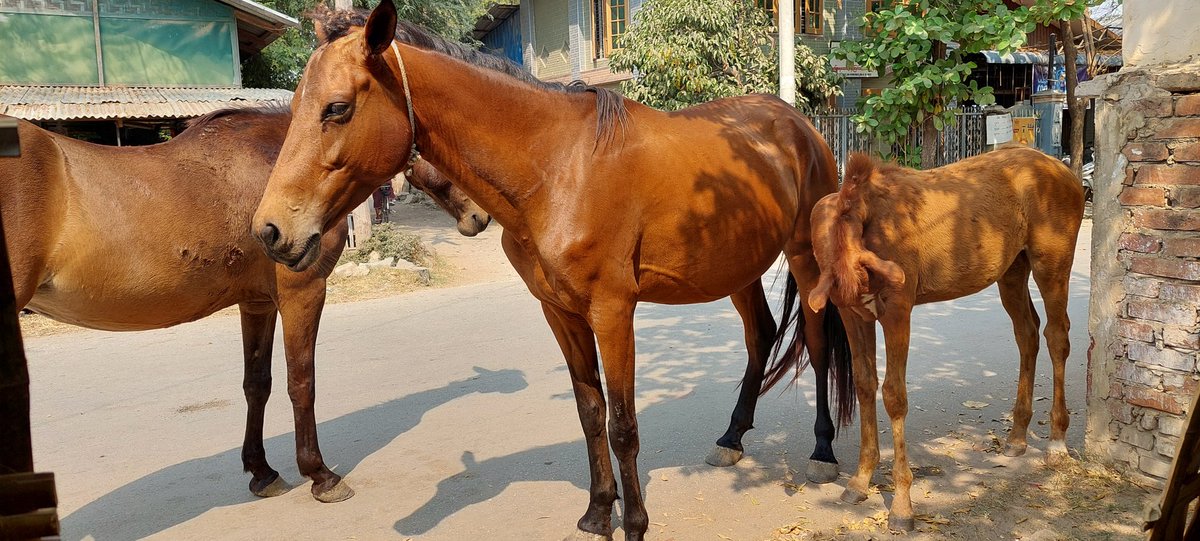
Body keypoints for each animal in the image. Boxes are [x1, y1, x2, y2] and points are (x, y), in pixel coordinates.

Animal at [4, 104, 482, 503]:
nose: (481, 215)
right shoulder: (302, 292)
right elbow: (301, 382)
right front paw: (321, 476)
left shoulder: (257, 304)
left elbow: (258, 384)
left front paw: (262, 472)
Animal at [254, 2, 854, 539]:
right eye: (298, 104)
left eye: (336, 108)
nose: (270, 230)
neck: (558, 168)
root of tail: (797, 123)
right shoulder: (560, 312)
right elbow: (590, 412)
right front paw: (598, 513)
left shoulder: (613, 313)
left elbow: (622, 424)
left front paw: (635, 523)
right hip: (737, 270)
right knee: (762, 337)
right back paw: (731, 439)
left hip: (805, 259)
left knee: (818, 343)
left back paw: (823, 452)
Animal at [811, 146, 1084, 532]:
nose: (867, 293)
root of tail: (1063, 172)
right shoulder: (853, 315)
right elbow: (864, 383)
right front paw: (860, 479)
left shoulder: (897, 310)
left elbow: (894, 395)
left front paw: (902, 505)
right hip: (1012, 269)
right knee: (1027, 333)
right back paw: (1017, 436)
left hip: (1053, 264)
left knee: (1056, 336)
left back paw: (1057, 442)